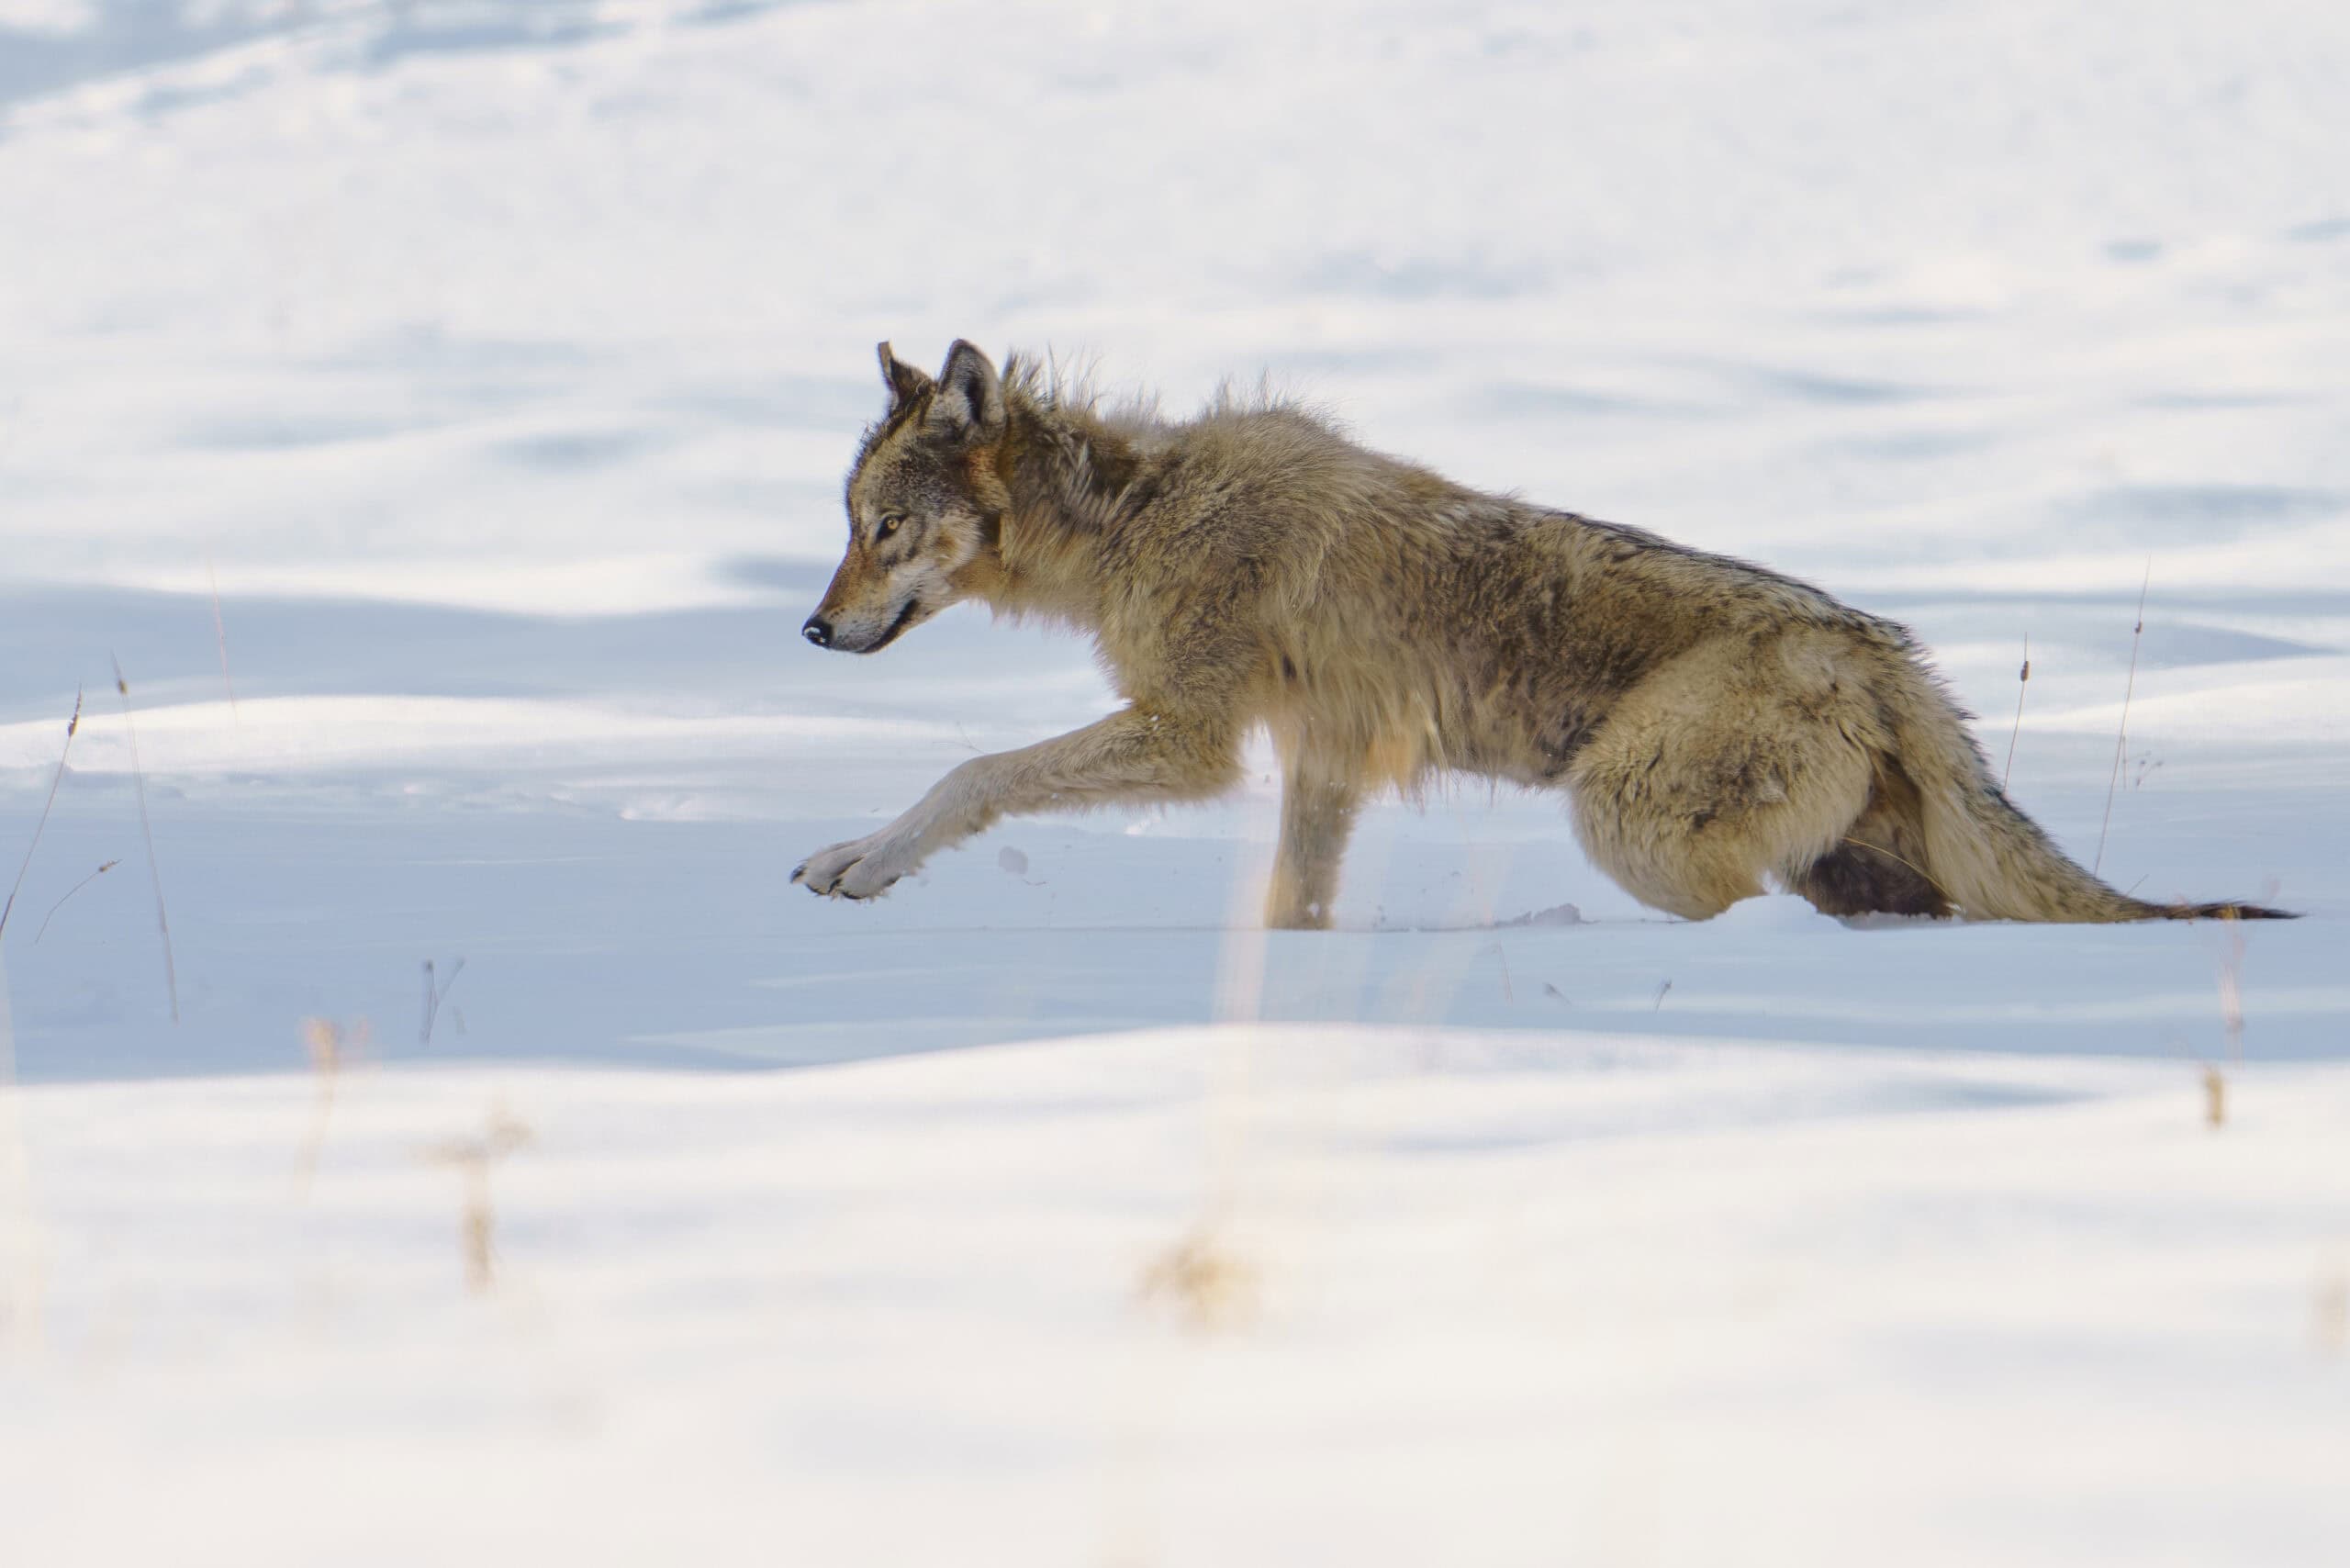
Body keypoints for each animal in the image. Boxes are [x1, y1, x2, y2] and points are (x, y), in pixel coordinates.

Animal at [792, 340, 2289, 928]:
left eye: (881, 527)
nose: (811, 629)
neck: (1138, 521)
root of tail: (1882, 650)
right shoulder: (1316, 767)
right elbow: (1294, 907)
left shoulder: (1193, 741)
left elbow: (972, 771)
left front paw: (868, 861)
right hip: (1845, 864)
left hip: (1623, 824)